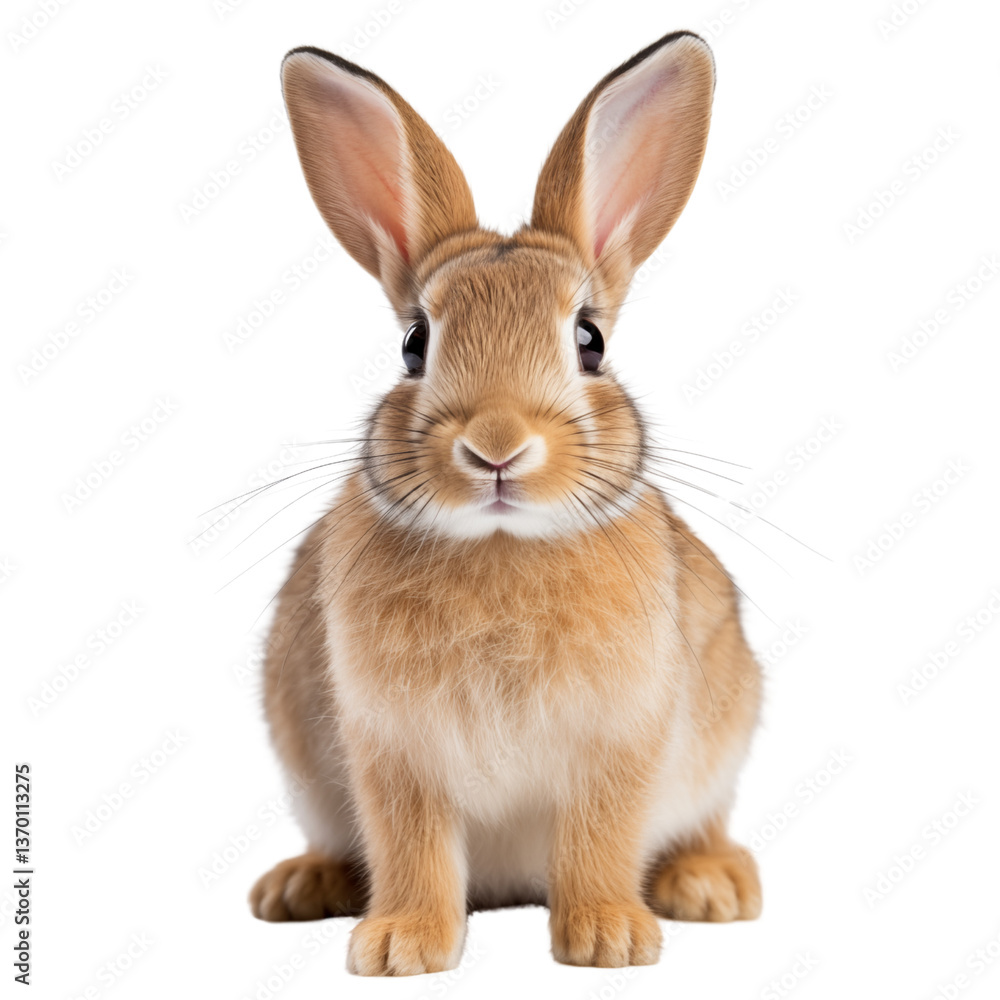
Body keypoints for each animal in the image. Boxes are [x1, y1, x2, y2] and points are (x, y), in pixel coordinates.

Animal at [249, 30, 762, 975]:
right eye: (414, 344)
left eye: (589, 341)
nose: (495, 445)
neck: (500, 544)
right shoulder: (393, 750)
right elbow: (411, 843)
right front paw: (401, 948)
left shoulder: (620, 740)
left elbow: (601, 834)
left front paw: (608, 940)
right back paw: (303, 886)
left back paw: (710, 885)